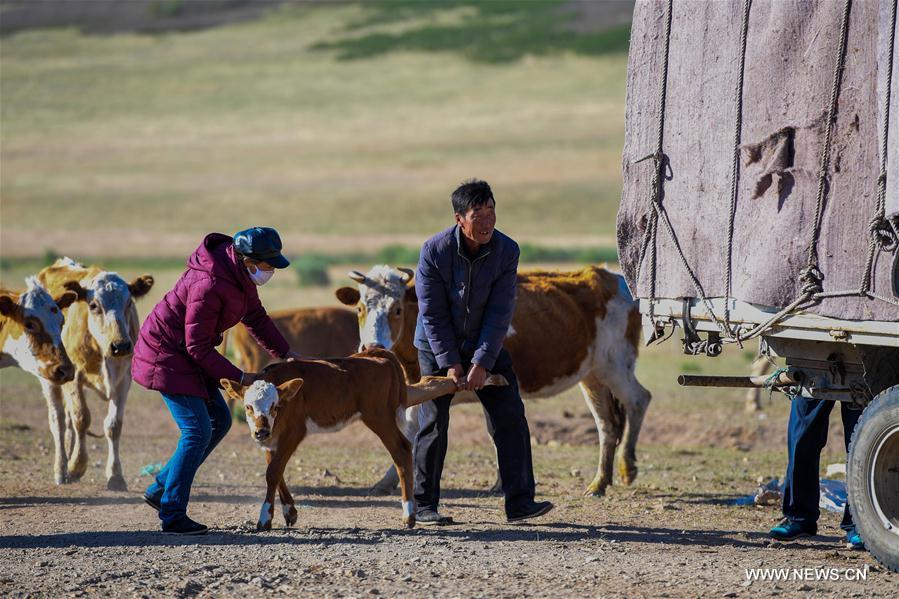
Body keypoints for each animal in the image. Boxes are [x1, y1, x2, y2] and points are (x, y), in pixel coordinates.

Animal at [37, 260, 155, 490]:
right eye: (93, 305)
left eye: (129, 302)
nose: (121, 345)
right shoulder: (73, 376)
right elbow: (81, 418)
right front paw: (76, 465)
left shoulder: (124, 380)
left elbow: (113, 425)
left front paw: (116, 475)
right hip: (49, 377)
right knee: (58, 419)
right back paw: (61, 469)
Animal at [334, 266, 652, 496]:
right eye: (360, 308)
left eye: (397, 309)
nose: (372, 346)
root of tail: (613, 278)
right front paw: (385, 482)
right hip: (593, 376)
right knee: (607, 424)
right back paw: (599, 482)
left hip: (615, 365)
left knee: (639, 400)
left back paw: (626, 467)